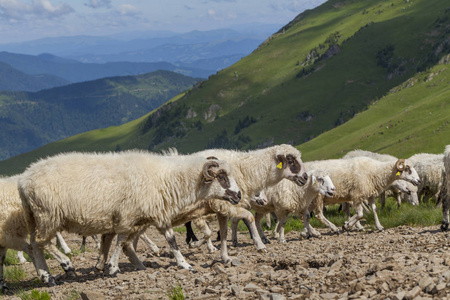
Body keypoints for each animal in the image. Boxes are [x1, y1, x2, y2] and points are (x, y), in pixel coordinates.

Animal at [18, 150, 241, 284]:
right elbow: (122, 239)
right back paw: (66, 265)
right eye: (222, 177)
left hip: (36, 216)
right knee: (42, 242)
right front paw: (112, 267)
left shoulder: (156, 213)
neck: (166, 178)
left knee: (34, 245)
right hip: (48, 214)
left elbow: (170, 239)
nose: (239, 195)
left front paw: (184, 264)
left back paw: (46, 276)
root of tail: (23, 180)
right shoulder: (127, 215)